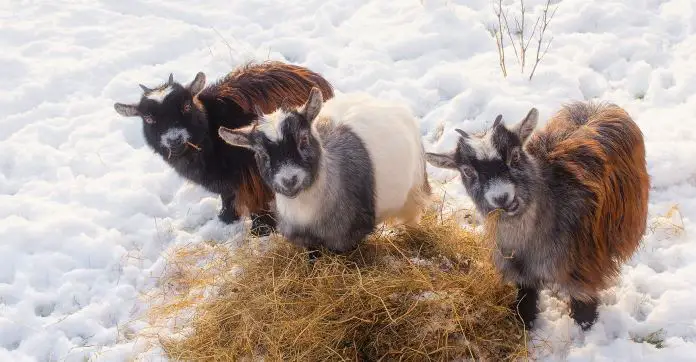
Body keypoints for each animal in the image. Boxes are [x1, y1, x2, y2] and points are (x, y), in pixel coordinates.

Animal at [113, 61, 334, 235]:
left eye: (186, 106)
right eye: (148, 118)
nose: (174, 139)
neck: (210, 136)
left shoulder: (252, 174)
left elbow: (257, 201)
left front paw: (261, 230)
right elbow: (227, 196)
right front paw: (226, 218)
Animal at [218, 87, 430, 256]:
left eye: (303, 139)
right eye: (261, 153)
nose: (289, 180)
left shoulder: (348, 236)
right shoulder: (306, 239)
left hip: (414, 190)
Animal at [426, 102, 648, 330]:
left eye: (515, 156)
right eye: (467, 171)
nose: (502, 197)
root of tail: (596, 106)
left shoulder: (582, 268)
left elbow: (584, 308)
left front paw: (586, 327)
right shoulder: (521, 273)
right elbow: (525, 302)